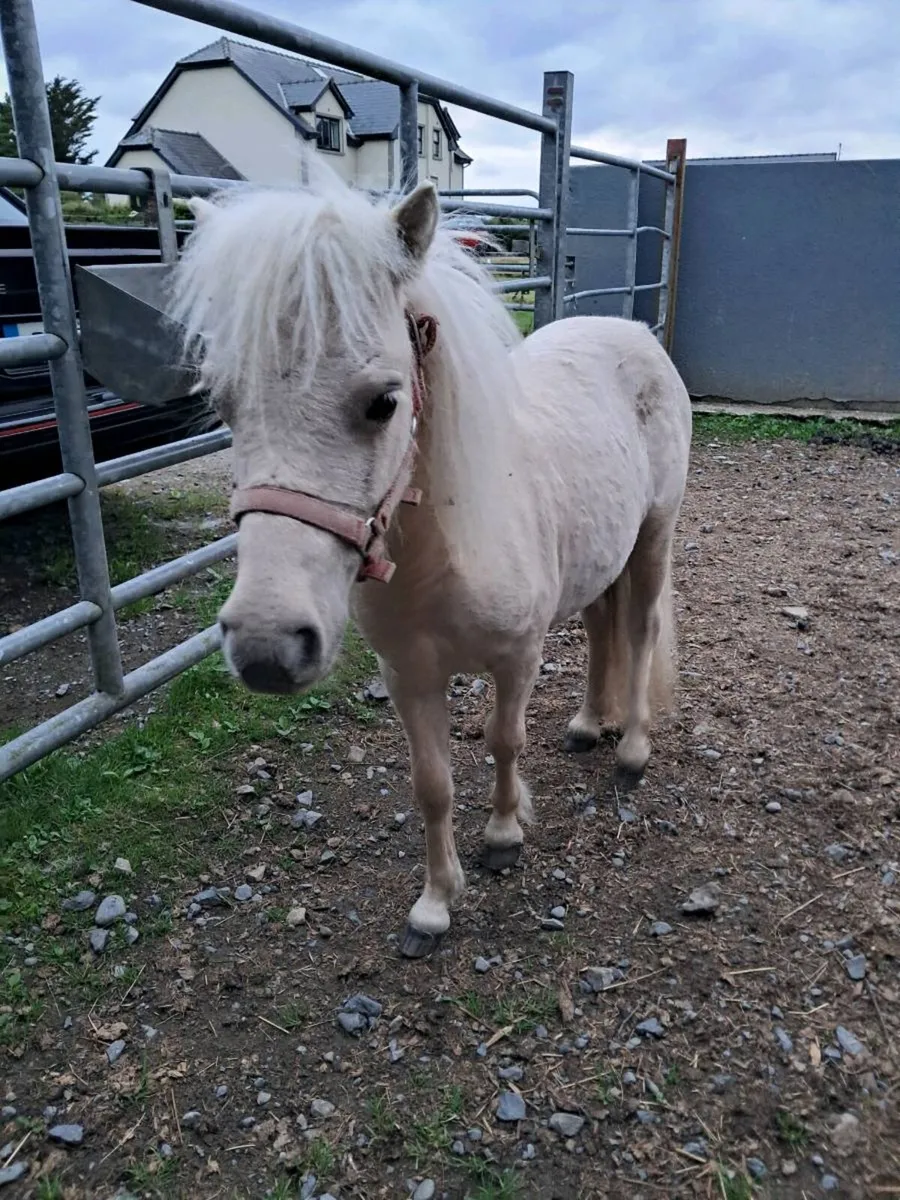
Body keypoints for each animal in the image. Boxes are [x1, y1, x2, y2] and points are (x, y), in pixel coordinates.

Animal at [167, 168, 693, 958]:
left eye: (384, 402)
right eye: (224, 403)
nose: (265, 647)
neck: (440, 555)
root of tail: (631, 334)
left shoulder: (516, 659)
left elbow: (504, 742)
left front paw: (503, 836)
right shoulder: (408, 674)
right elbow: (431, 783)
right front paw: (436, 903)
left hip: (653, 535)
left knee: (639, 628)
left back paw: (630, 747)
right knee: (604, 626)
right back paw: (585, 724)